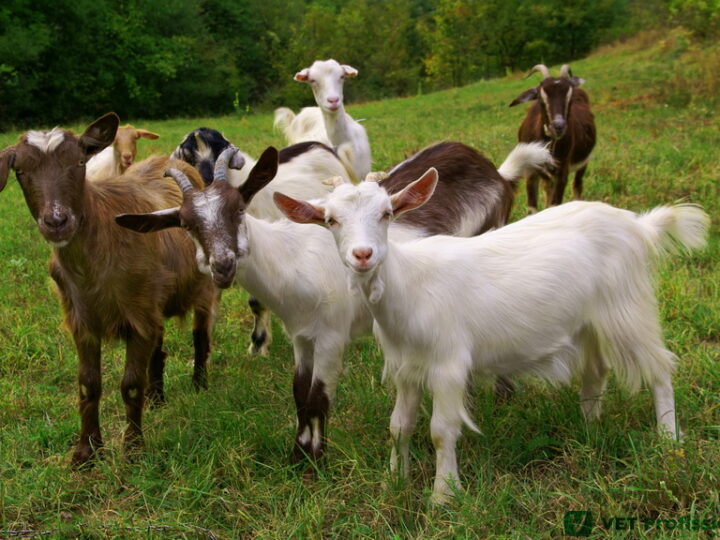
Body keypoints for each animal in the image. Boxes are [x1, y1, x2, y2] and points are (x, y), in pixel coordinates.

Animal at [0, 113, 218, 464]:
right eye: (20, 171)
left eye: (79, 163)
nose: (56, 222)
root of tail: (171, 161)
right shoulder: (83, 318)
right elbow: (88, 384)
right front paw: (86, 451)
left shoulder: (137, 314)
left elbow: (130, 384)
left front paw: (133, 449)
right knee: (159, 346)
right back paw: (156, 398)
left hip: (201, 286)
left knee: (200, 334)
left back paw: (199, 384)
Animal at [172, 127, 358, 358]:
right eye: (188, 158)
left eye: (219, 151)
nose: (206, 186)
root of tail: (325, 147)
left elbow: (256, 303)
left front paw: (258, 346)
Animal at [280, 171, 708, 504]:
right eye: (331, 220)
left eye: (386, 214)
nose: (363, 254)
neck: (410, 286)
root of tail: (639, 225)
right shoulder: (406, 367)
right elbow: (398, 425)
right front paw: (393, 482)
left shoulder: (448, 363)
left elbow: (441, 431)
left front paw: (443, 496)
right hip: (589, 320)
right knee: (597, 369)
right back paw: (589, 429)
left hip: (626, 306)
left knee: (659, 368)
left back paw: (669, 440)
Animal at [512, 63, 596, 213]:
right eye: (541, 99)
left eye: (570, 99)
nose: (558, 126)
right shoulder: (531, 172)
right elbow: (532, 208)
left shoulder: (562, 170)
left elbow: (554, 204)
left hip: (584, 161)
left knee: (577, 185)